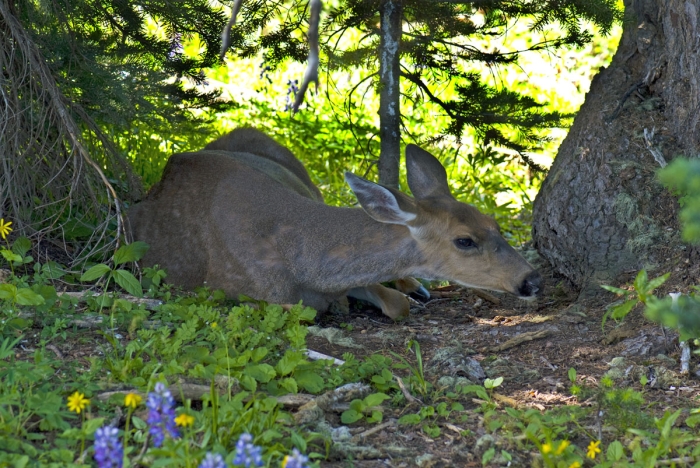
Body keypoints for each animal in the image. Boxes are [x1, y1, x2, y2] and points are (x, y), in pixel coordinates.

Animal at [127, 128, 540, 318]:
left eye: (494, 222)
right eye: (464, 240)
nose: (531, 279)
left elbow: (394, 304)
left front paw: (403, 291)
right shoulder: (234, 291)